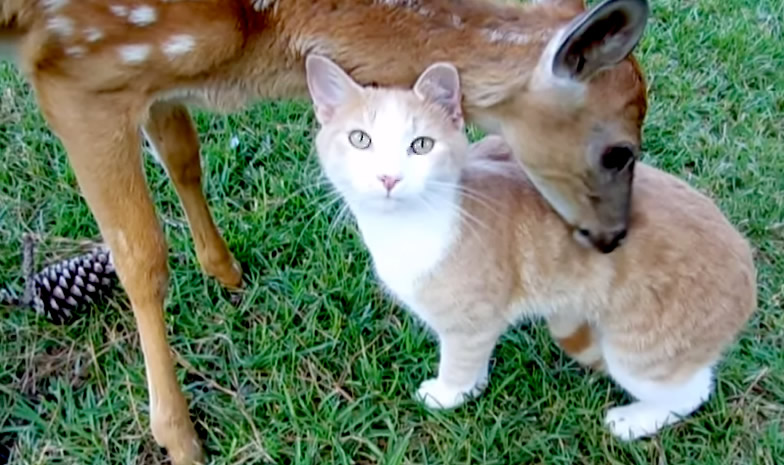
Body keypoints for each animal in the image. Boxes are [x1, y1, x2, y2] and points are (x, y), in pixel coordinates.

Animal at [0, 0, 648, 460]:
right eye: (620, 151)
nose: (615, 237)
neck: (258, 31)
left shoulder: (151, 77)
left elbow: (184, 154)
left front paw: (228, 273)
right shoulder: (78, 72)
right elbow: (140, 255)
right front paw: (179, 438)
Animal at [304, 55, 756, 438]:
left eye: (421, 145)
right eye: (360, 139)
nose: (388, 178)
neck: (408, 228)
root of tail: (747, 263)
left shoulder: (472, 320)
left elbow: (459, 361)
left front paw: (447, 395)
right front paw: (473, 387)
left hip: (639, 352)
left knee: (691, 391)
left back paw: (633, 421)